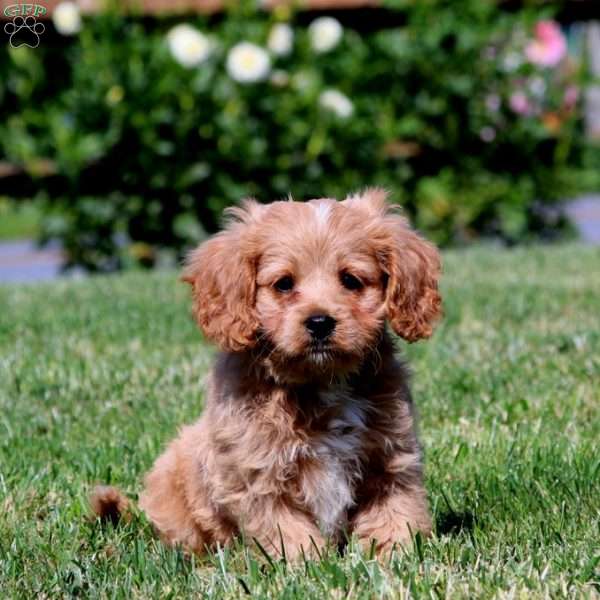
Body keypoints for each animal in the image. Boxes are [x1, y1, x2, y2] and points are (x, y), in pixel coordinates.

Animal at [94, 190, 440, 560]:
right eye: (284, 284)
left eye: (351, 280)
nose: (320, 322)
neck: (322, 381)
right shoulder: (257, 473)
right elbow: (286, 528)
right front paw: (307, 563)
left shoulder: (391, 456)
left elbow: (395, 511)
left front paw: (395, 555)